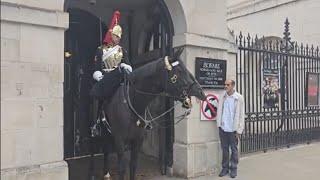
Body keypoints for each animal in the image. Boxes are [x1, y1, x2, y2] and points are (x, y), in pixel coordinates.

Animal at [91, 47, 206, 179]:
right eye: (180, 70)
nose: (201, 93)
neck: (133, 103)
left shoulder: (137, 140)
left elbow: (133, 166)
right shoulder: (120, 140)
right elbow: (122, 169)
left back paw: (106, 173)